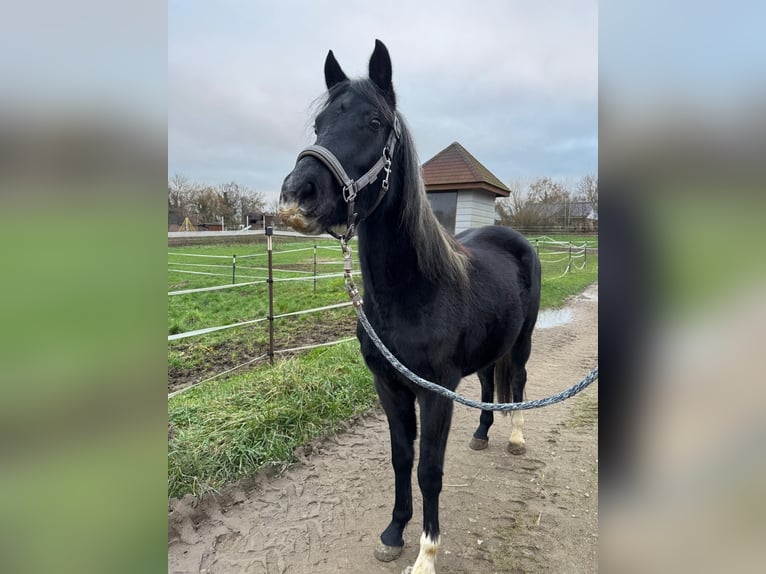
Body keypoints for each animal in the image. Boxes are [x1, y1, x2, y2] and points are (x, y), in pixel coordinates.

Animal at [280, 39, 540, 572]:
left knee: (519, 382)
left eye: (374, 121)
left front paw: (426, 553)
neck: (411, 293)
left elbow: (429, 471)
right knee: (490, 384)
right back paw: (483, 433)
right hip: (489, 350)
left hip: (522, 340)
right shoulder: (390, 386)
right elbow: (402, 459)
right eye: (319, 125)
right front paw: (394, 532)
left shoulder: (435, 392)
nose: (298, 195)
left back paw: (515, 438)